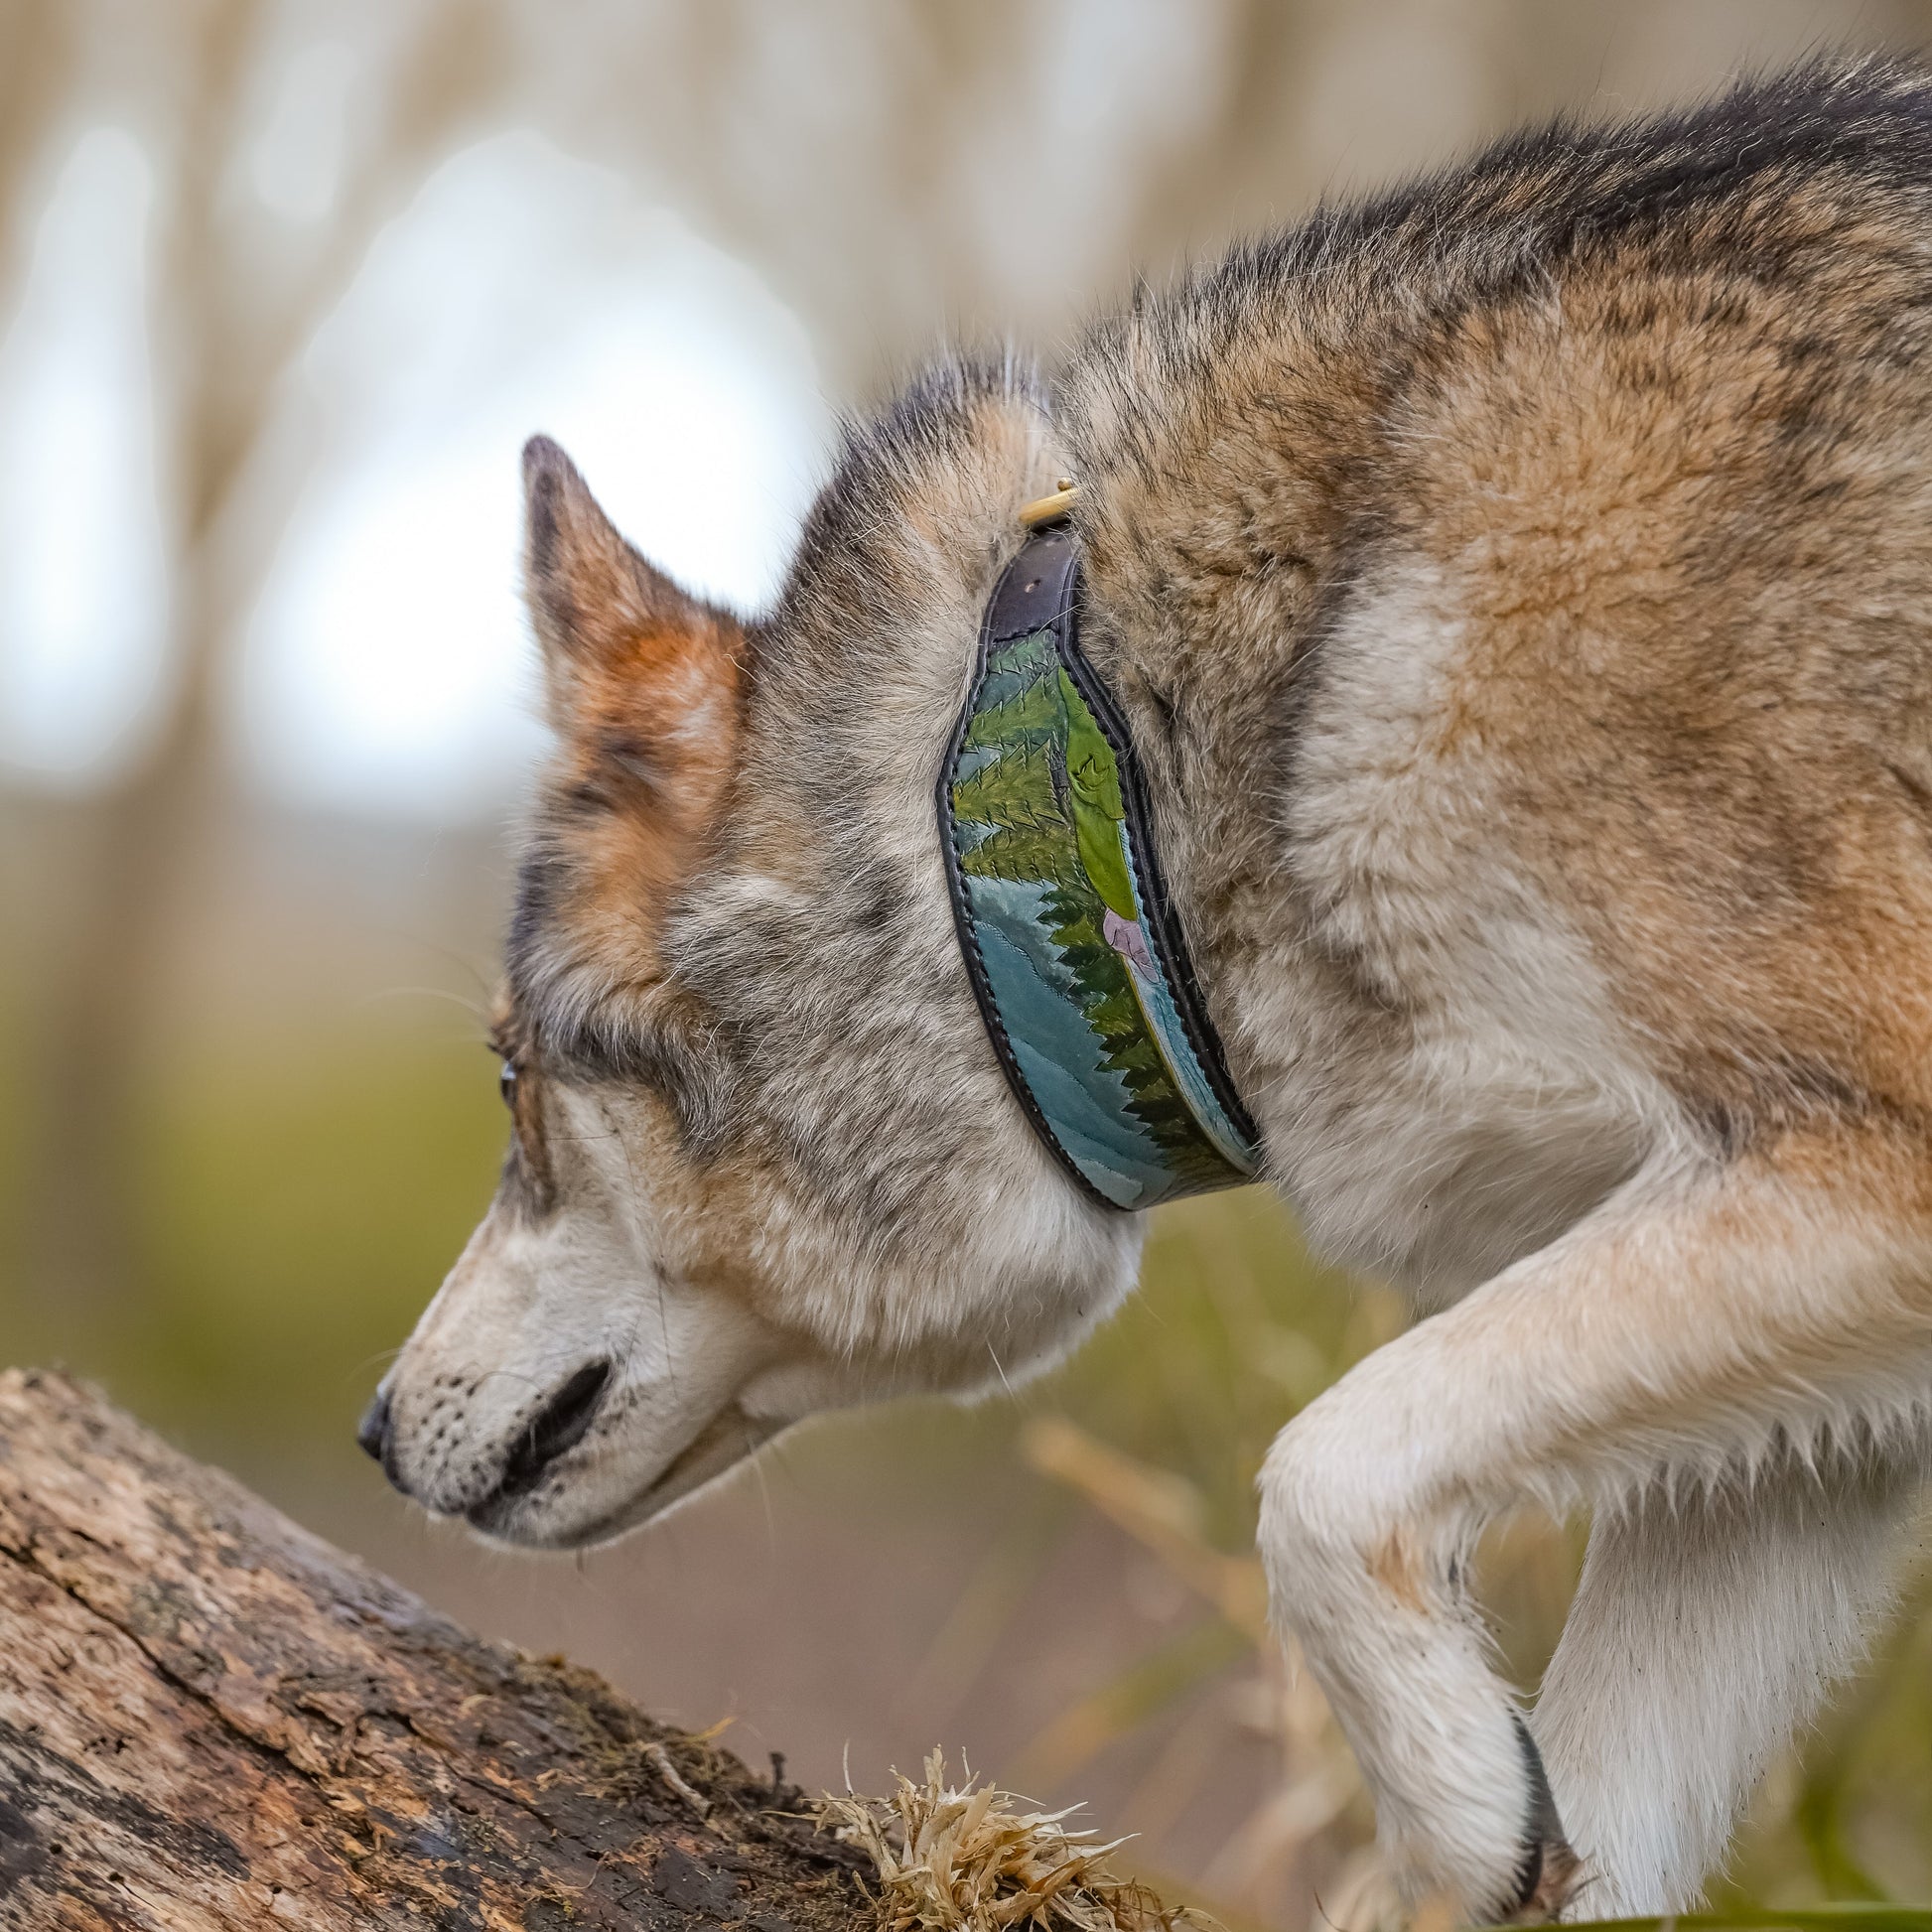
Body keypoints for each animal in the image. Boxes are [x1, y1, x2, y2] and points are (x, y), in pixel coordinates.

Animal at [360, 57, 1932, 1920]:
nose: (370, 1434)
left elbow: (1316, 1473)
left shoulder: (1856, 1170)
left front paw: (1457, 1808)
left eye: (509, 1083)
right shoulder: (1806, 1450)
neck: (1106, 760)